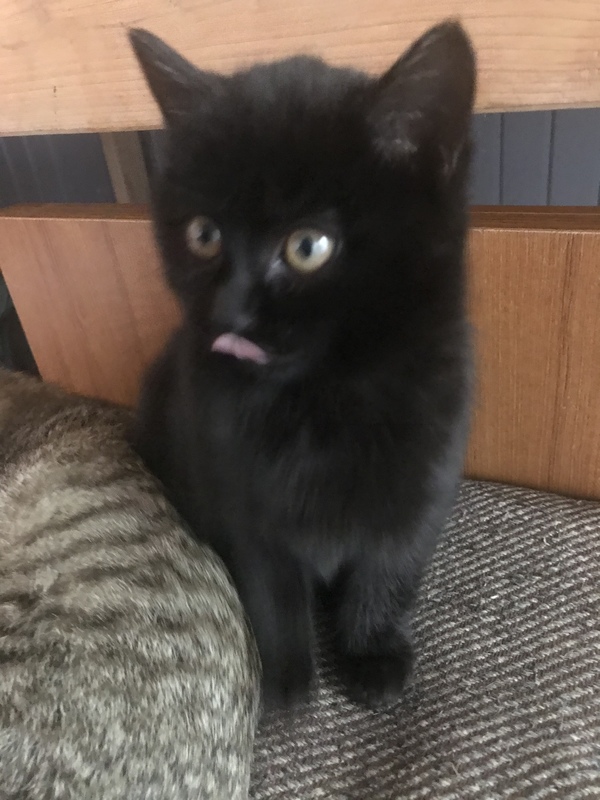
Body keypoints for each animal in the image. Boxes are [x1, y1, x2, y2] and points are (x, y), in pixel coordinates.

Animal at [130, 20, 476, 709]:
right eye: (204, 234)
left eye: (308, 246)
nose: (229, 313)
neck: (319, 399)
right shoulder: (239, 496)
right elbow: (269, 587)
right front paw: (286, 677)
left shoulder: (422, 483)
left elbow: (389, 566)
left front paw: (371, 652)